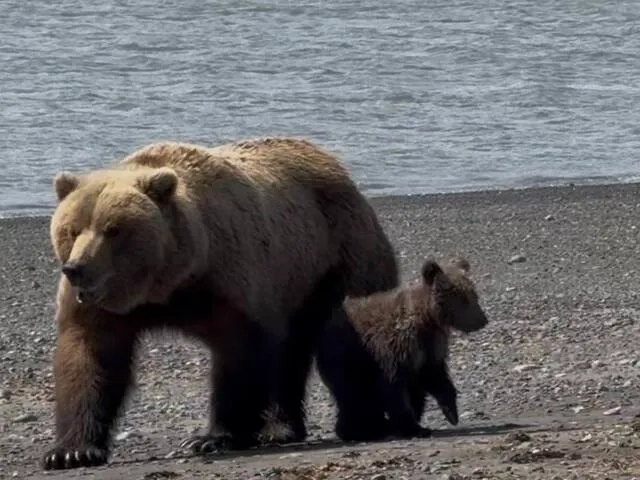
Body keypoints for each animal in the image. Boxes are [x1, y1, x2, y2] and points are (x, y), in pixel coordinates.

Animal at [42, 137, 399, 470]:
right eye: (71, 229)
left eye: (113, 230)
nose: (77, 268)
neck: (167, 283)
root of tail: (339, 169)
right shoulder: (100, 308)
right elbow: (90, 360)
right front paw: (71, 451)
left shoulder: (230, 280)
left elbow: (238, 355)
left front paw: (212, 437)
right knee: (290, 355)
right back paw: (281, 429)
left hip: (335, 261)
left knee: (340, 342)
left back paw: (360, 423)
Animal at [315, 256, 488, 442]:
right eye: (463, 298)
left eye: (474, 295)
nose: (483, 320)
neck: (427, 320)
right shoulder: (394, 346)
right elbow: (394, 385)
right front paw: (414, 428)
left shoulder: (430, 347)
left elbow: (435, 375)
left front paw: (451, 412)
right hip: (345, 355)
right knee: (354, 394)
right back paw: (361, 429)